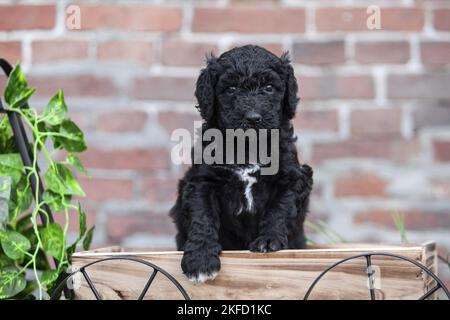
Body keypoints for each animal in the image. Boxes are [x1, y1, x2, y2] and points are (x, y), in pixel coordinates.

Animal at [169, 45, 312, 282]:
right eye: (232, 88)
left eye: (269, 87)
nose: (252, 118)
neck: (248, 146)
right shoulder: (202, 181)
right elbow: (202, 216)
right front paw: (200, 258)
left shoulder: (292, 178)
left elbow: (279, 208)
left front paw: (269, 240)